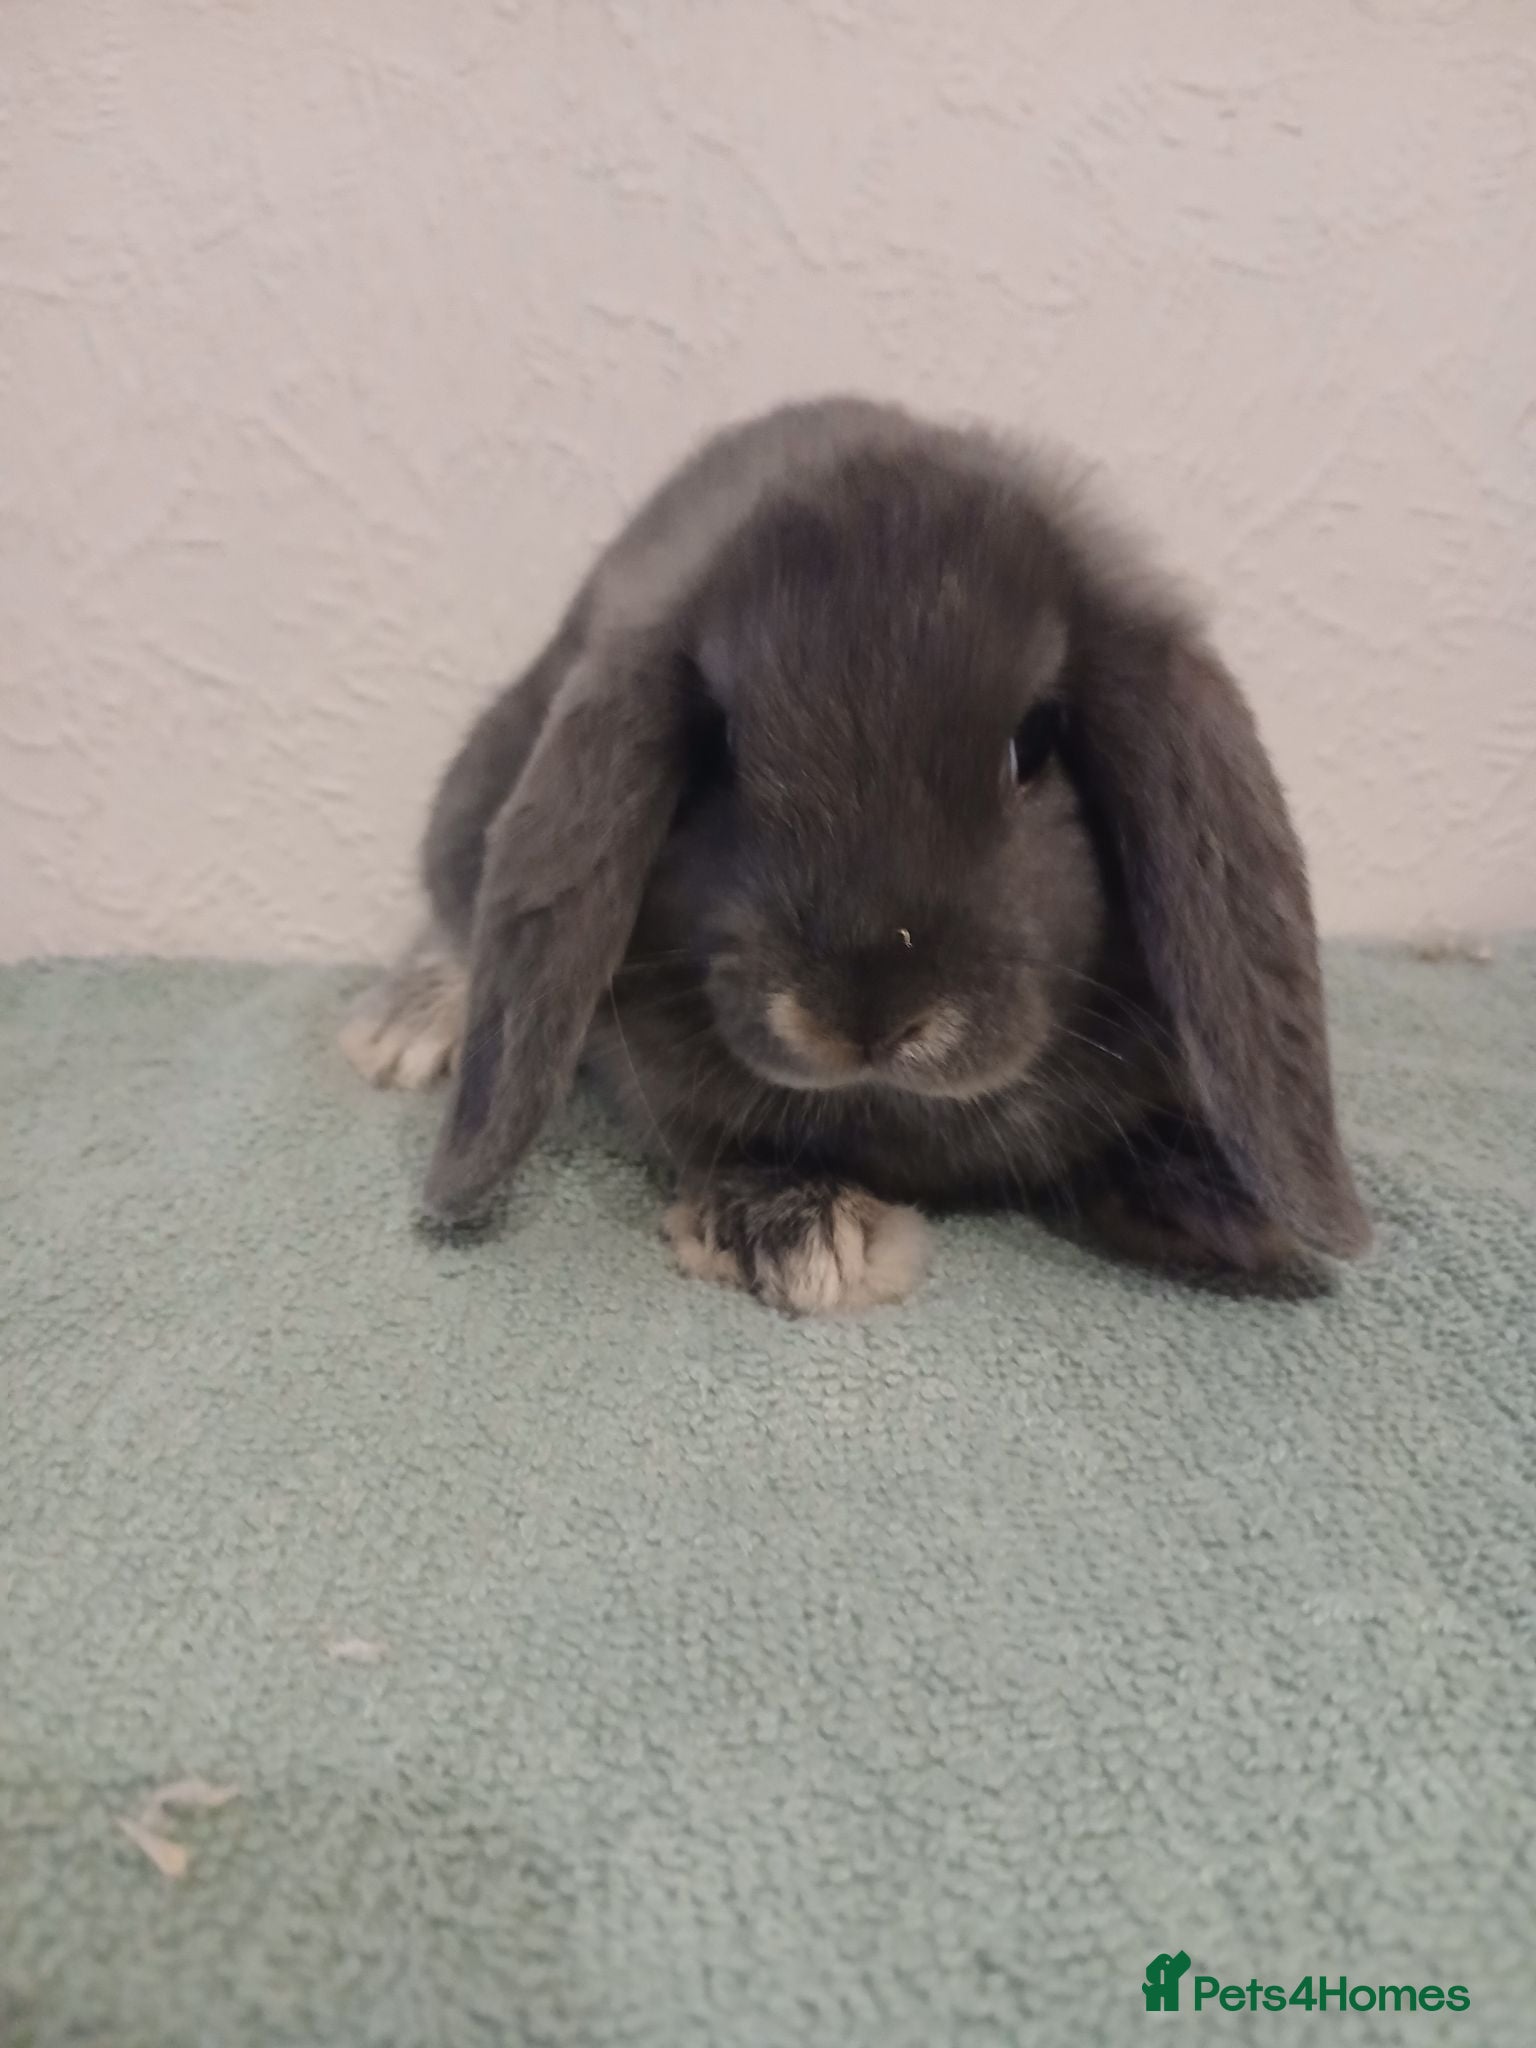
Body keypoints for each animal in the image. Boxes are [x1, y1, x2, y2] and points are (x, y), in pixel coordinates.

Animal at [341, 395, 1370, 1313]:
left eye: (1033, 742)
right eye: (723, 747)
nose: (865, 1017)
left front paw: (1220, 1201)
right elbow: (727, 1143)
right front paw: (804, 1236)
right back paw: (400, 1032)